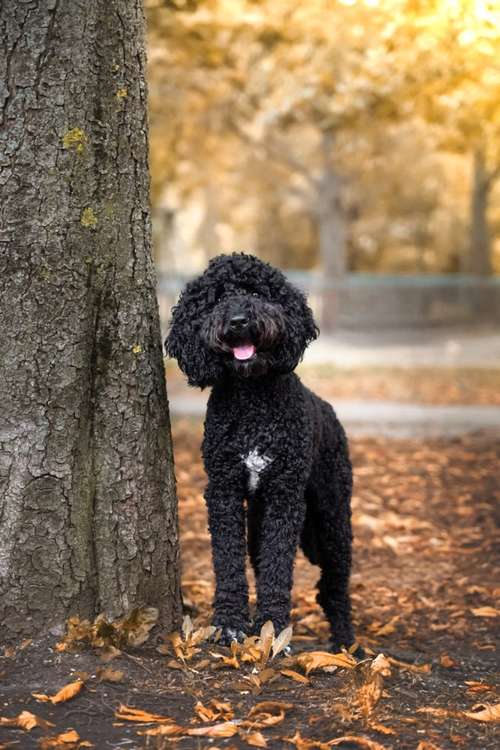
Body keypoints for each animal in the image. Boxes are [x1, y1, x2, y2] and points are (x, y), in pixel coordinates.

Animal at [168, 253, 360, 652]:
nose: (239, 320)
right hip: (260, 518)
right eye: (218, 298)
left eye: (256, 292)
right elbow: (229, 562)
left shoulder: (285, 497)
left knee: (334, 586)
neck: (252, 400)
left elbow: (278, 568)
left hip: (333, 515)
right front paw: (231, 624)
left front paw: (274, 629)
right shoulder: (223, 492)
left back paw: (346, 645)